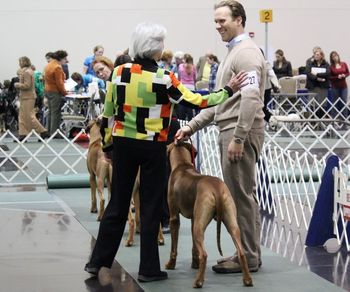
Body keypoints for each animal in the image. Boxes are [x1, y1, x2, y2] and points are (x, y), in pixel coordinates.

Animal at [165, 143, 253, 288]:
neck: (182, 164)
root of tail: (216, 189)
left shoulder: (174, 218)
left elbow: (174, 247)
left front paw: (170, 265)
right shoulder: (194, 219)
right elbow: (194, 248)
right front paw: (194, 264)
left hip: (199, 227)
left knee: (204, 254)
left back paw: (198, 282)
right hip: (230, 222)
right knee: (241, 252)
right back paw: (247, 280)